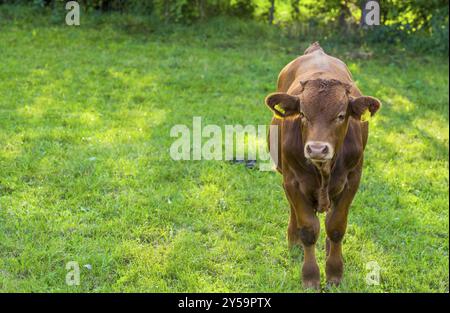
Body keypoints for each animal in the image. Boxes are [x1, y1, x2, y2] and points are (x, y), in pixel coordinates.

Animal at [266, 42, 382, 288]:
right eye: (302, 113)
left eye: (340, 115)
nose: (317, 149)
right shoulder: (292, 181)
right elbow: (309, 229)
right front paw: (310, 276)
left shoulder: (352, 180)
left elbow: (336, 227)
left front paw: (335, 272)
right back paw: (294, 241)